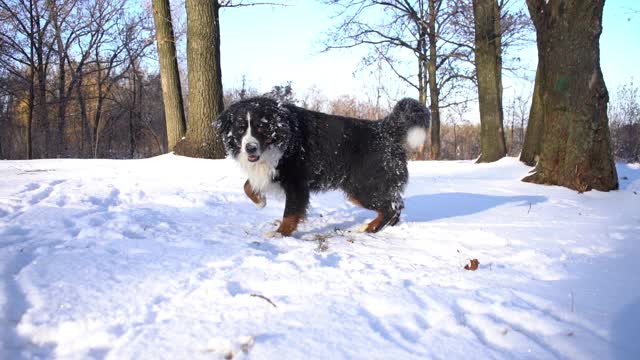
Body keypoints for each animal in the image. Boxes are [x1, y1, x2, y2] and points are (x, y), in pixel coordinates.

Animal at [215, 96, 430, 236]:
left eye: (261, 127)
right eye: (241, 129)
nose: (250, 147)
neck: (283, 138)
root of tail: (383, 129)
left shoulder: (296, 183)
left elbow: (290, 213)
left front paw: (280, 233)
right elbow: (247, 185)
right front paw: (260, 200)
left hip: (364, 187)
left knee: (391, 207)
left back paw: (367, 229)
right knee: (396, 204)